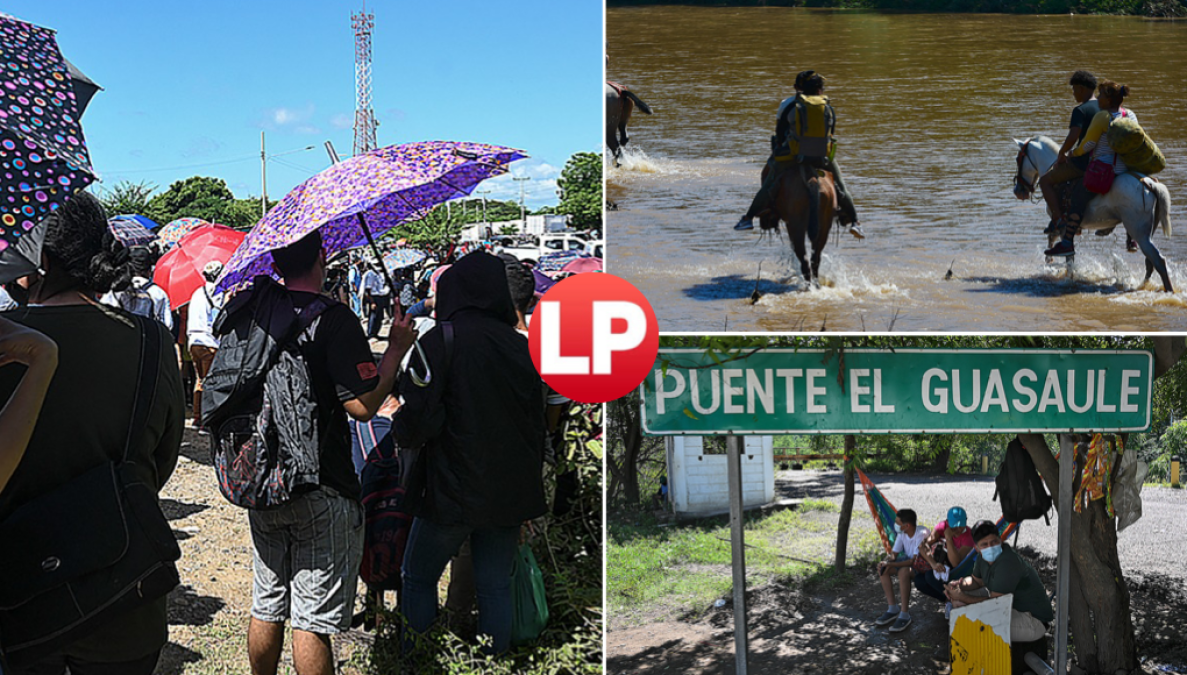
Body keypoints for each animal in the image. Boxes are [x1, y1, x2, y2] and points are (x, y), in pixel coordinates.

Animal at [1016, 136, 1172, 291]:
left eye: (1018, 159)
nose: (1018, 191)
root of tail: (1149, 184)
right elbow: (1054, 239)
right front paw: (1050, 259)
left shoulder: (1063, 225)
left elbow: (1068, 257)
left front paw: (1067, 278)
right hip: (1147, 232)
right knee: (1150, 262)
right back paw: (1143, 285)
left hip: (1139, 232)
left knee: (1158, 260)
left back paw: (1168, 290)